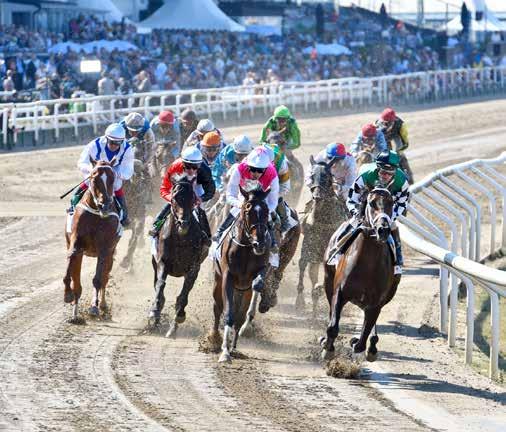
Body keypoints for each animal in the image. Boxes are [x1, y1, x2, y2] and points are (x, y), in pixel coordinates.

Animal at [63, 160, 121, 322]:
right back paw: (75, 314)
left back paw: (102, 305)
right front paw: (68, 294)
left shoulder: (105, 248)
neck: (96, 214)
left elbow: (98, 279)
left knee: (105, 277)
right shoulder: (76, 244)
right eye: (94, 179)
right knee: (77, 283)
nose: (105, 205)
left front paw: (94, 307)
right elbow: (69, 272)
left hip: (110, 254)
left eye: (113, 178)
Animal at [150, 176, 208, 338]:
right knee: (157, 284)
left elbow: (183, 296)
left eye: (193, 198)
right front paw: (154, 311)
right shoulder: (162, 262)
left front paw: (179, 317)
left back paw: (172, 328)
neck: (181, 238)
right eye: (174, 198)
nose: (184, 223)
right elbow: (161, 284)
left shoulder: (193, 268)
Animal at [211, 185, 270, 362]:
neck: (246, 248)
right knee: (217, 307)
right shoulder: (227, 278)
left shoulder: (260, 270)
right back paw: (214, 339)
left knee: (240, 313)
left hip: (244, 289)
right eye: (247, 211)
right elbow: (228, 312)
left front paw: (242, 331)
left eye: (267, 211)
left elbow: (257, 285)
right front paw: (224, 352)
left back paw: (234, 343)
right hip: (217, 281)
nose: (260, 243)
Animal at [296, 159, 348, 318]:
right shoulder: (309, 244)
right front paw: (299, 301)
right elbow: (302, 264)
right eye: (312, 175)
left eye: (326, 176)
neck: (323, 220)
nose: (317, 197)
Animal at [322, 188, 402, 362]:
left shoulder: (376, 303)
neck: (367, 266)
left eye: (391, 202)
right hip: (328, 280)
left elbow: (362, 340)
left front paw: (356, 342)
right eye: (371, 203)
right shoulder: (339, 292)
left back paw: (372, 345)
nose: (383, 230)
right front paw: (327, 347)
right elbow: (332, 326)